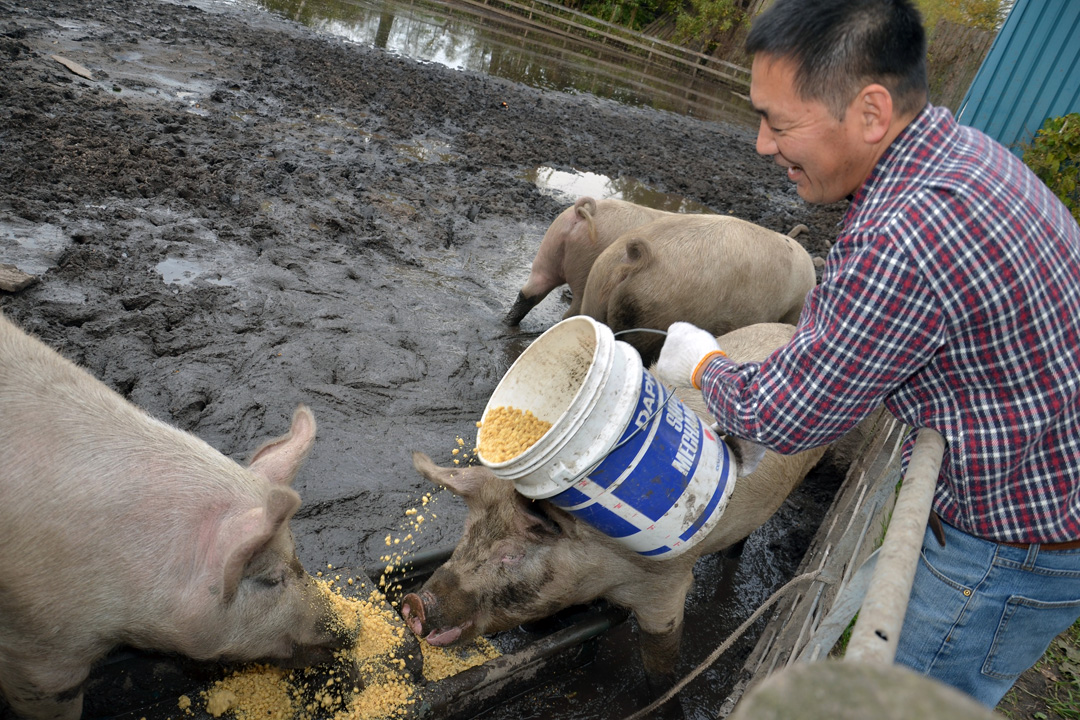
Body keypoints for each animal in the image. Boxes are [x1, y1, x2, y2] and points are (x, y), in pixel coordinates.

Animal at [403, 323, 825, 690]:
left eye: (510, 554)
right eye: (466, 534)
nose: (415, 603)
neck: (605, 574)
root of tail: (791, 328)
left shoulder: (668, 585)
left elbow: (659, 664)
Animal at [505, 194, 673, 323]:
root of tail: (584, 213)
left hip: (549, 251)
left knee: (530, 291)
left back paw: (508, 322)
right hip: (586, 271)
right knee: (573, 311)